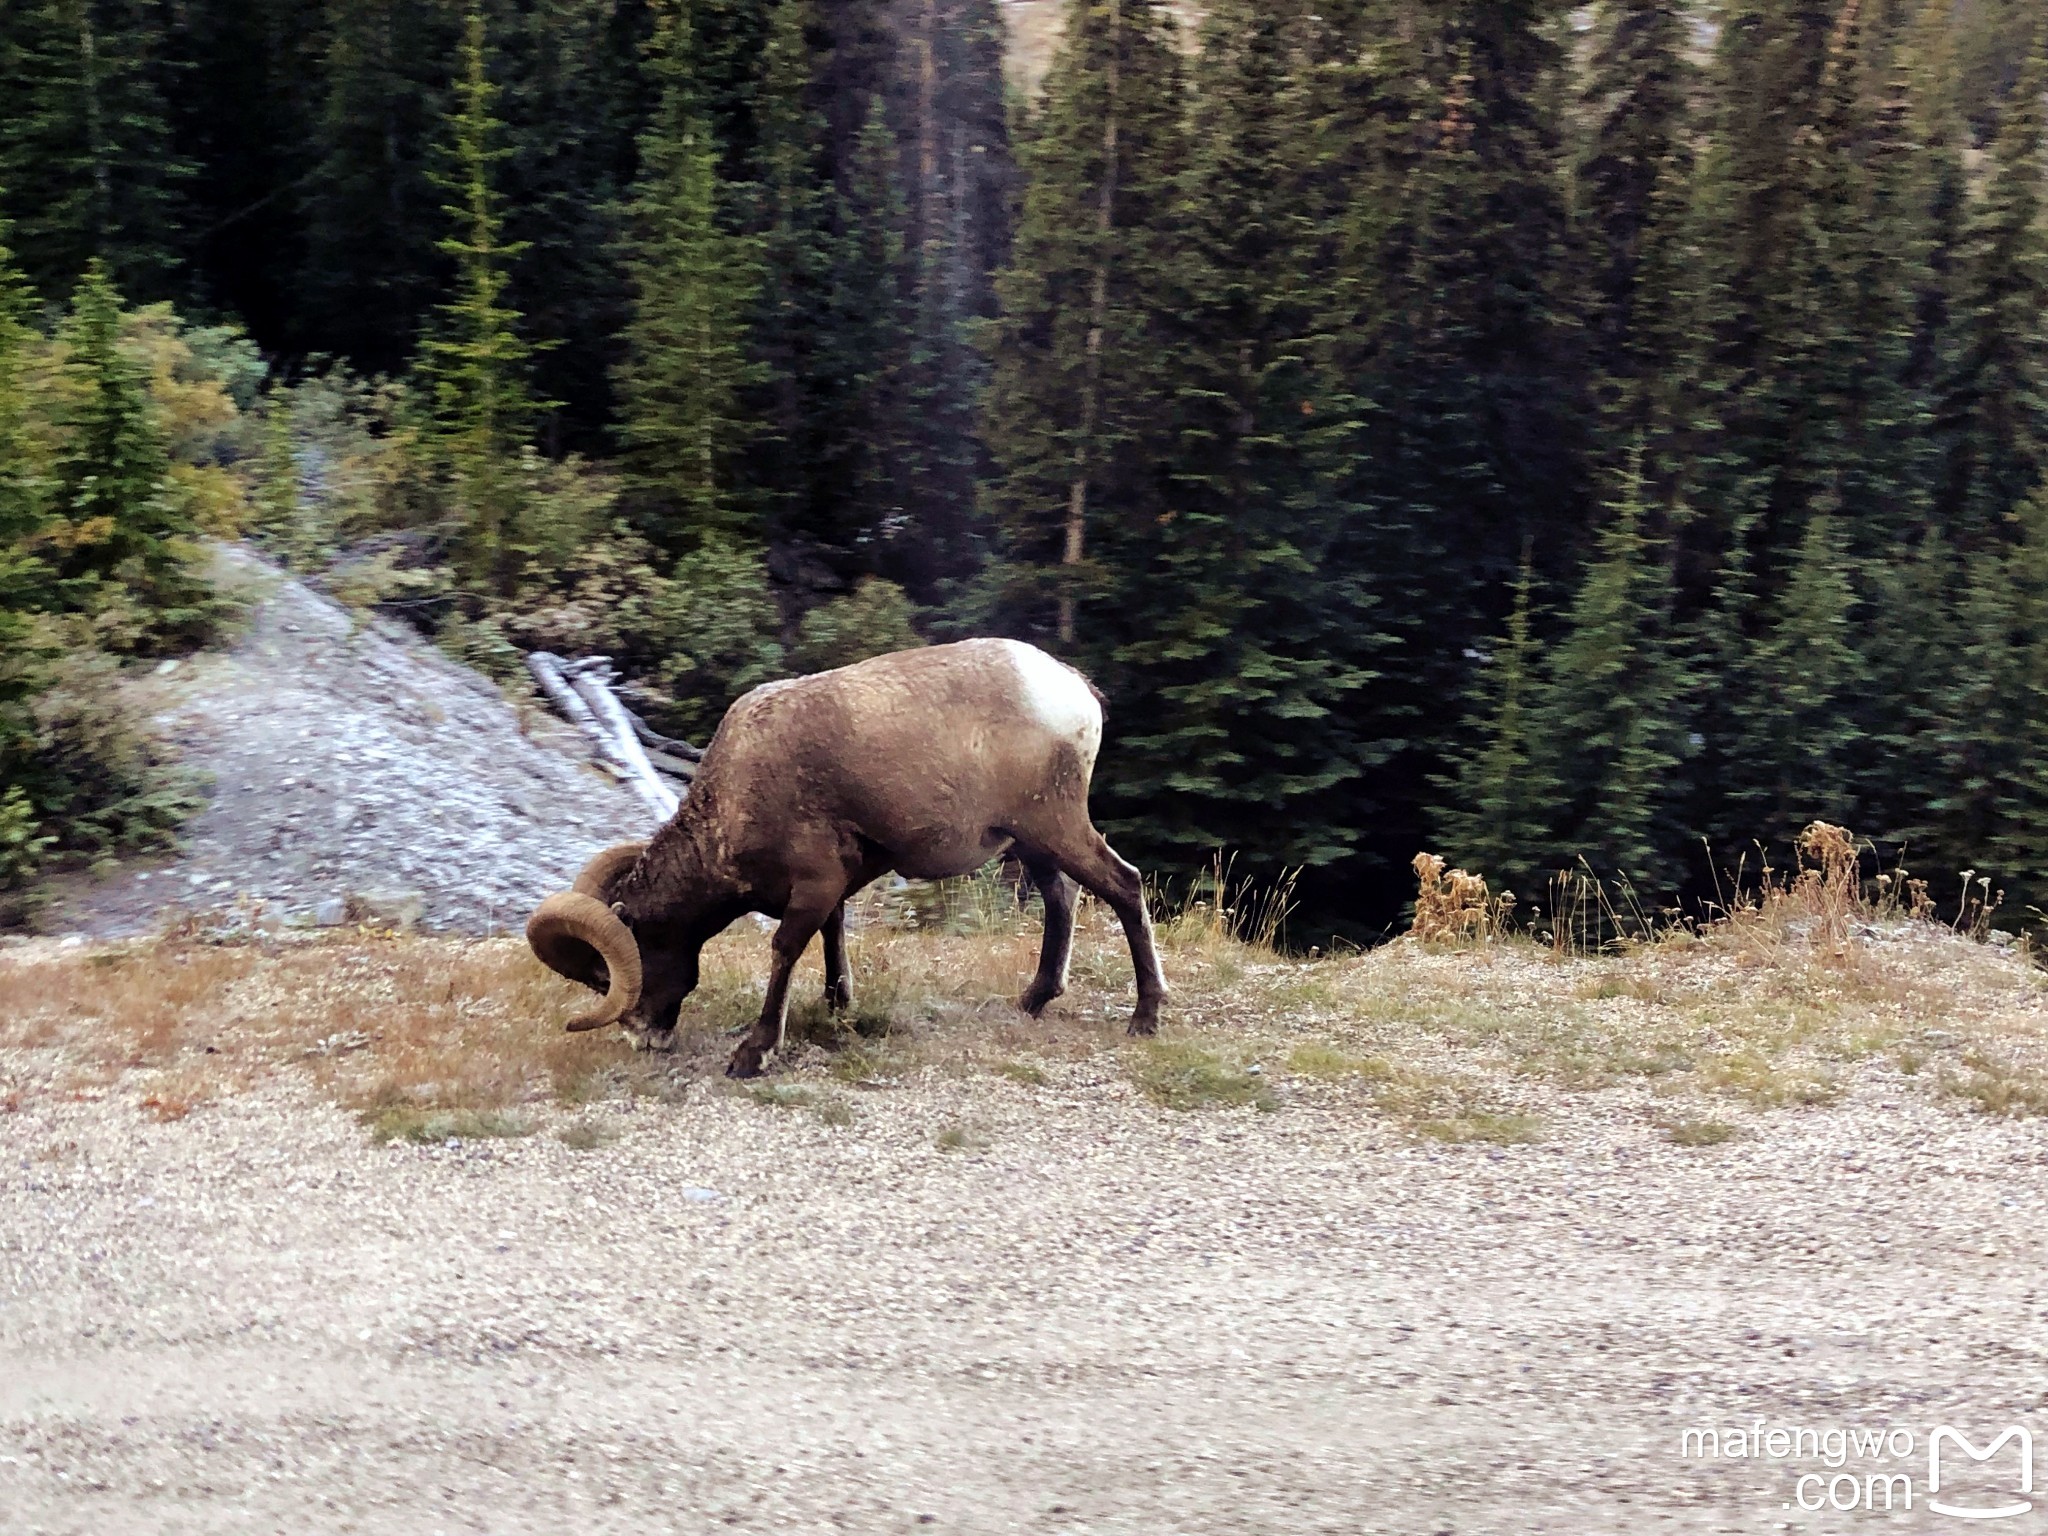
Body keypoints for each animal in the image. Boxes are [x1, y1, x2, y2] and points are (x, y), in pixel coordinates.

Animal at [528, 643, 1171, 1073]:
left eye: (608, 974)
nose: (643, 1039)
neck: (739, 792)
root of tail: (1073, 689)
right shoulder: (830, 885)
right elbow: (833, 935)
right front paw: (839, 1007)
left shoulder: (812, 884)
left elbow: (786, 949)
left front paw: (753, 1055)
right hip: (1032, 841)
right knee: (1063, 898)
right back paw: (1034, 1000)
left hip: (1055, 827)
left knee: (1123, 885)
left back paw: (1145, 1018)